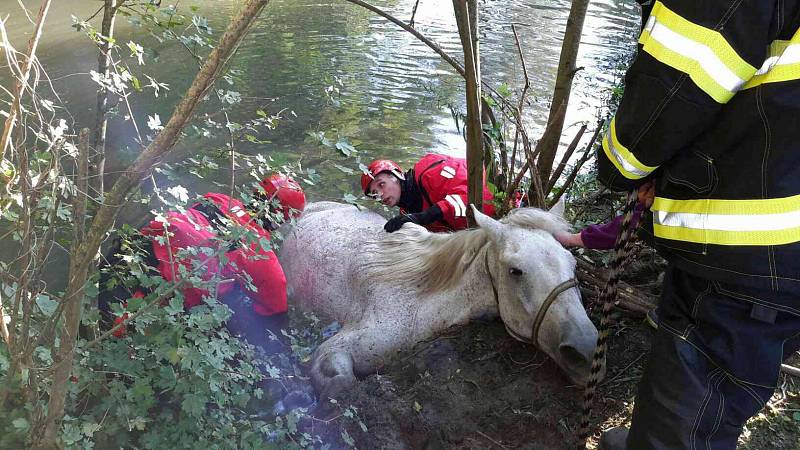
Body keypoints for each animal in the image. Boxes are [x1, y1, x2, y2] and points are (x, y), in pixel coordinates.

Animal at [282, 202, 600, 400]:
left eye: (572, 263)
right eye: (515, 271)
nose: (586, 351)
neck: (422, 297)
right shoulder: (332, 351)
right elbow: (340, 384)